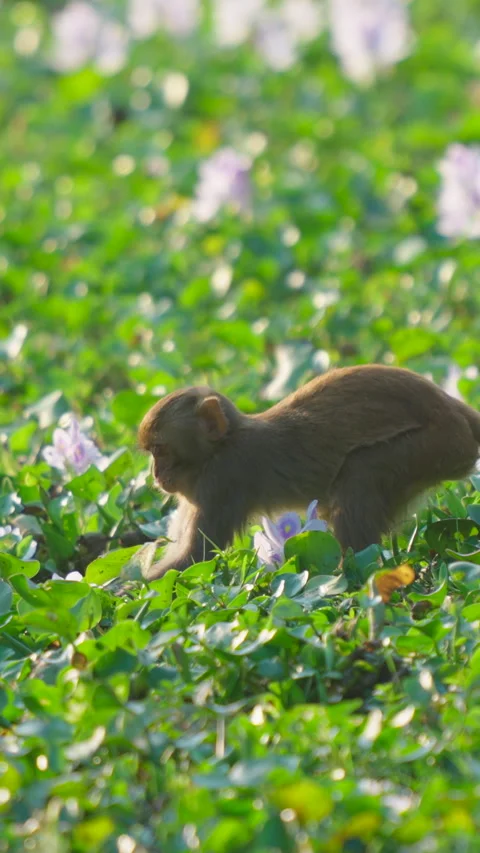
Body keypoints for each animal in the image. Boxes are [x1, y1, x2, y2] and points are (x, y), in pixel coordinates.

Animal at [138, 364, 480, 580]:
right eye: (152, 453)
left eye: (162, 451)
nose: (156, 474)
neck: (223, 444)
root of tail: (454, 409)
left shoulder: (222, 479)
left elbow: (194, 558)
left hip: (434, 445)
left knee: (361, 470)